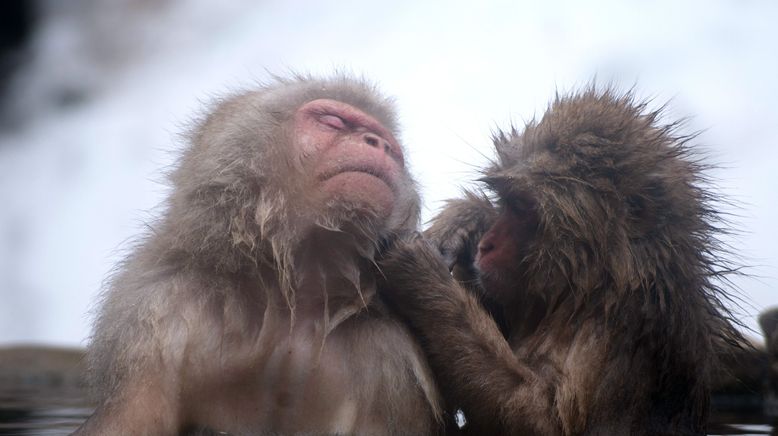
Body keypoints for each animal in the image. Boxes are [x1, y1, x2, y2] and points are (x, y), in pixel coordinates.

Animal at [79, 76, 446, 436]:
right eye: (333, 122)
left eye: (393, 149)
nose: (380, 143)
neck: (297, 297)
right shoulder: (155, 312)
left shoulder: (392, 357)